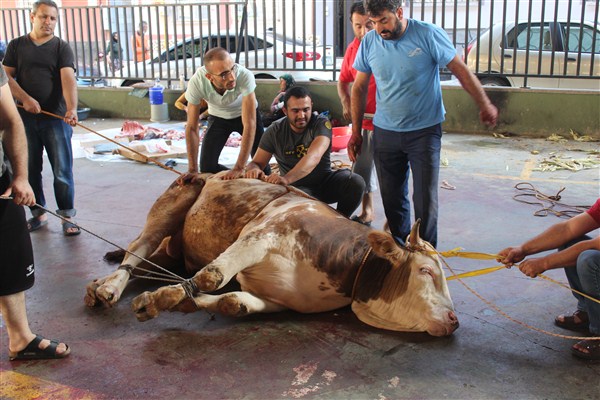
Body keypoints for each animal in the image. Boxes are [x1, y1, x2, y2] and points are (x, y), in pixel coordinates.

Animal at [84, 171, 460, 334]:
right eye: (426, 270)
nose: (454, 320)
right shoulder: (258, 238)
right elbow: (212, 276)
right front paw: (160, 299)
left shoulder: (279, 299)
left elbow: (231, 302)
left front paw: (184, 302)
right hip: (170, 205)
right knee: (137, 250)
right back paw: (110, 287)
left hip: (174, 249)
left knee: (143, 262)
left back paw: (99, 287)